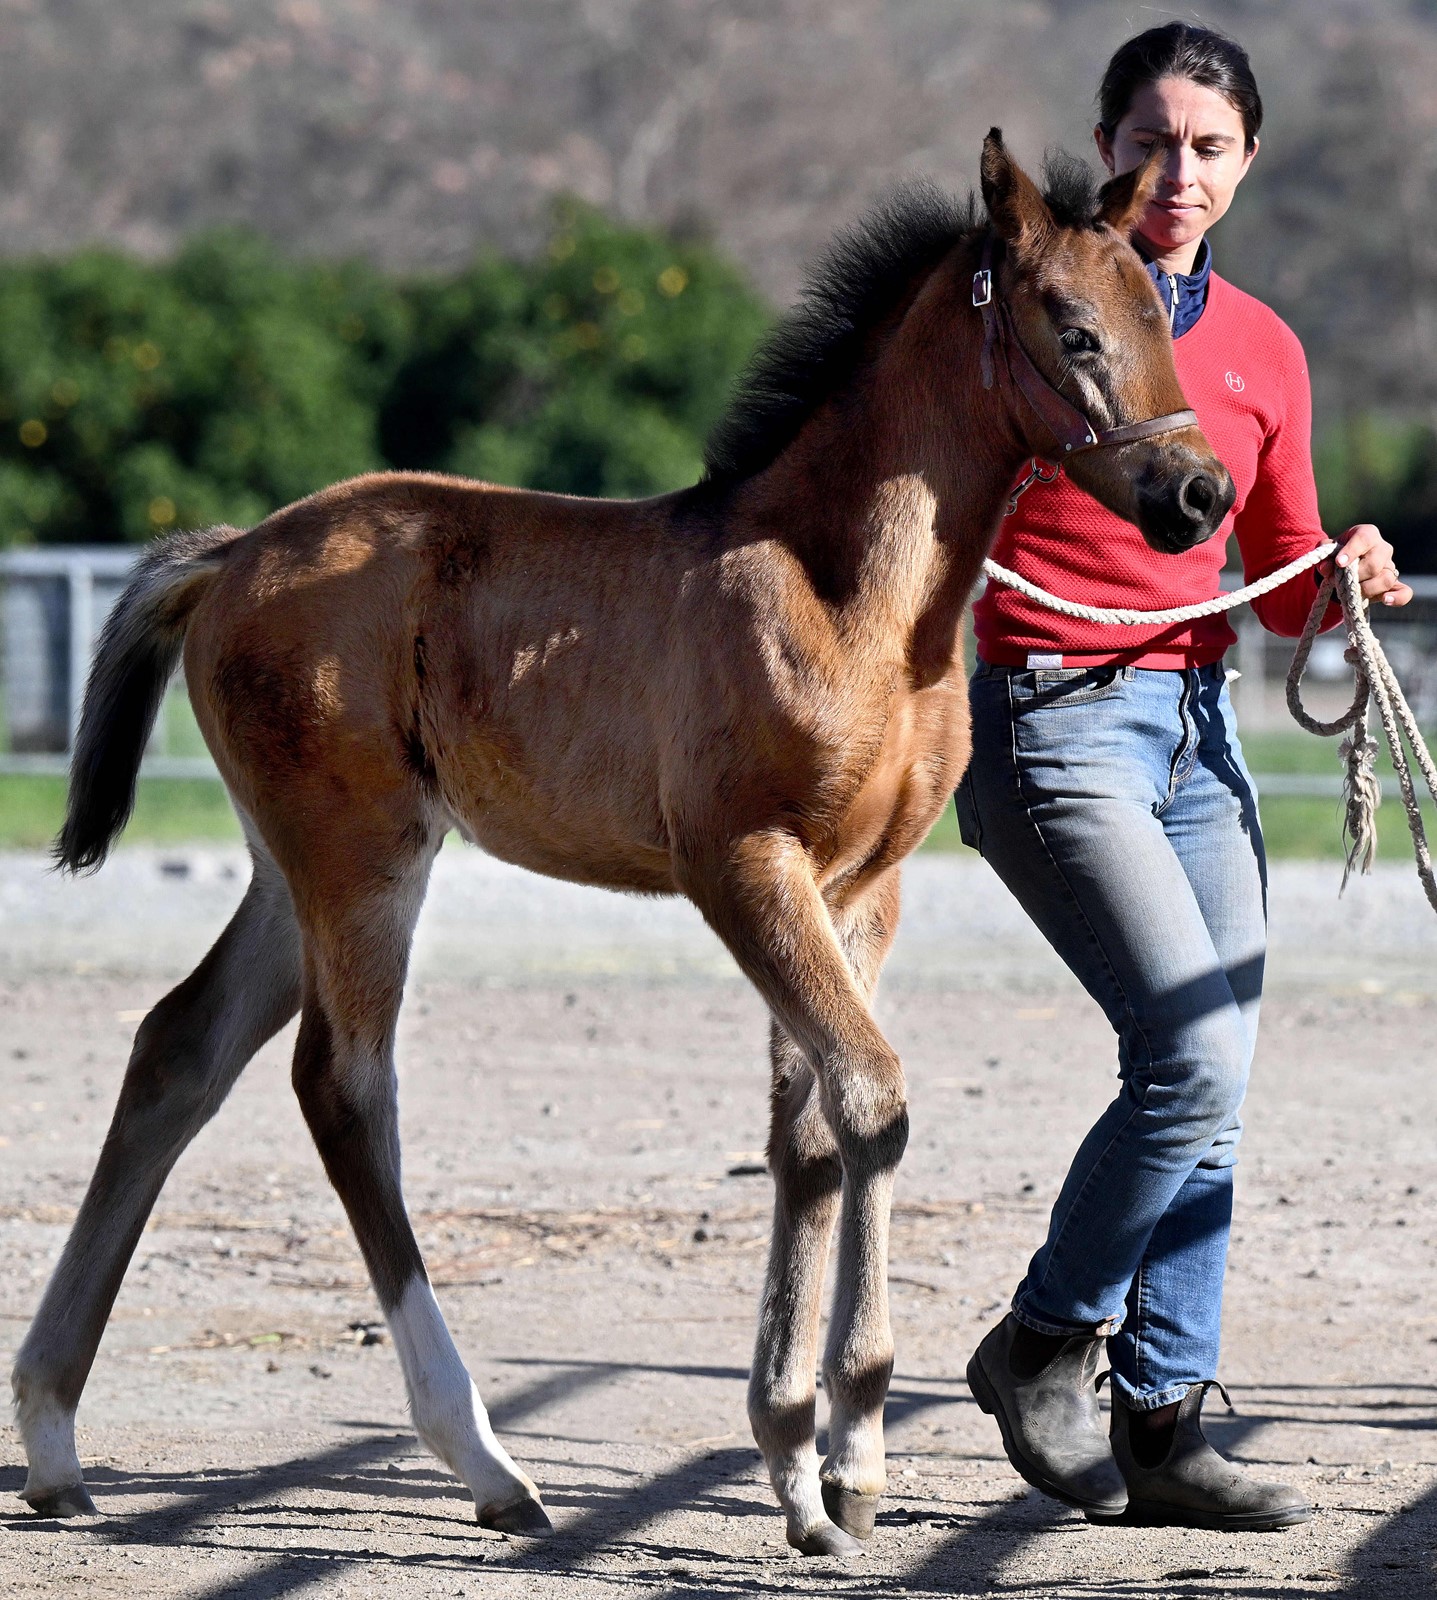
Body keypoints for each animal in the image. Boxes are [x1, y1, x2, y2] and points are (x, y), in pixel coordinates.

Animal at [13, 131, 1234, 1557]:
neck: (845, 596)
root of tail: (234, 556)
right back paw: (485, 1460)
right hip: (364, 857)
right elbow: (873, 1099)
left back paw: (54, 1439)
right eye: (1075, 328)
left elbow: (811, 1135)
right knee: (345, 1085)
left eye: (1165, 317)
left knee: (178, 1051)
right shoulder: (744, 866)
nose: (1198, 493)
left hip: (288, 870)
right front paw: (839, 1449)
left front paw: (809, 1461)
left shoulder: (861, 889)